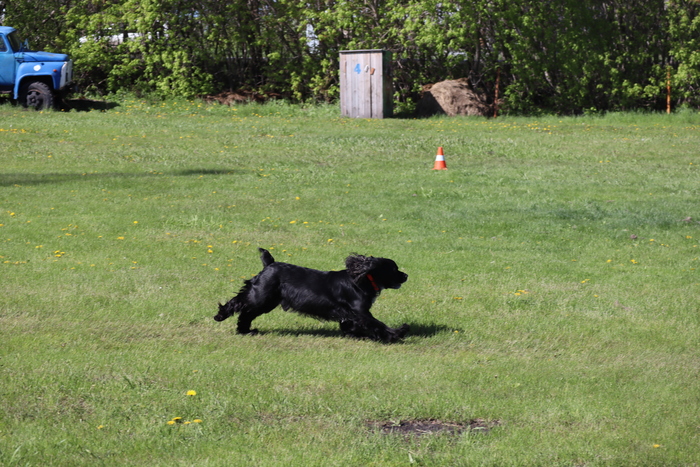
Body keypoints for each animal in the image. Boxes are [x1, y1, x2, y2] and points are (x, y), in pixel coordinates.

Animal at [214, 248, 409, 343]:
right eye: (394, 269)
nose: (406, 275)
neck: (363, 279)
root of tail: (270, 264)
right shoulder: (360, 311)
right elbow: (377, 324)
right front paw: (396, 334)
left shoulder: (349, 314)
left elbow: (354, 326)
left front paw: (358, 335)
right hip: (260, 296)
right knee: (238, 303)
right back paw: (220, 316)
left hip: (267, 301)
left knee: (246, 314)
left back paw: (246, 331)